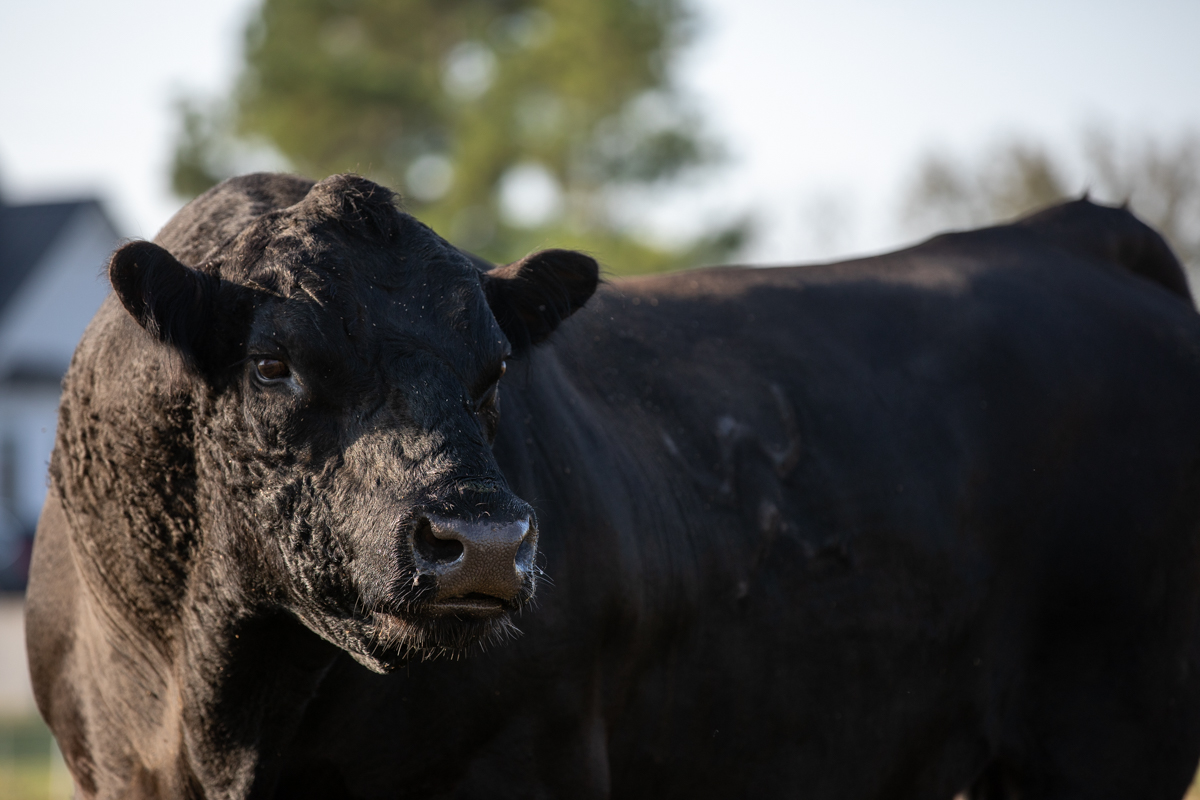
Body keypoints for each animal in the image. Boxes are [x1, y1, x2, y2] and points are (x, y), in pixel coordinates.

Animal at [24, 172, 1200, 799]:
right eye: (273, 363)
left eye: (496, 369)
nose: (485, 542)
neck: (216, 705)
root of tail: (1073, 235)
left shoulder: (528, 759)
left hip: (1111, 732)